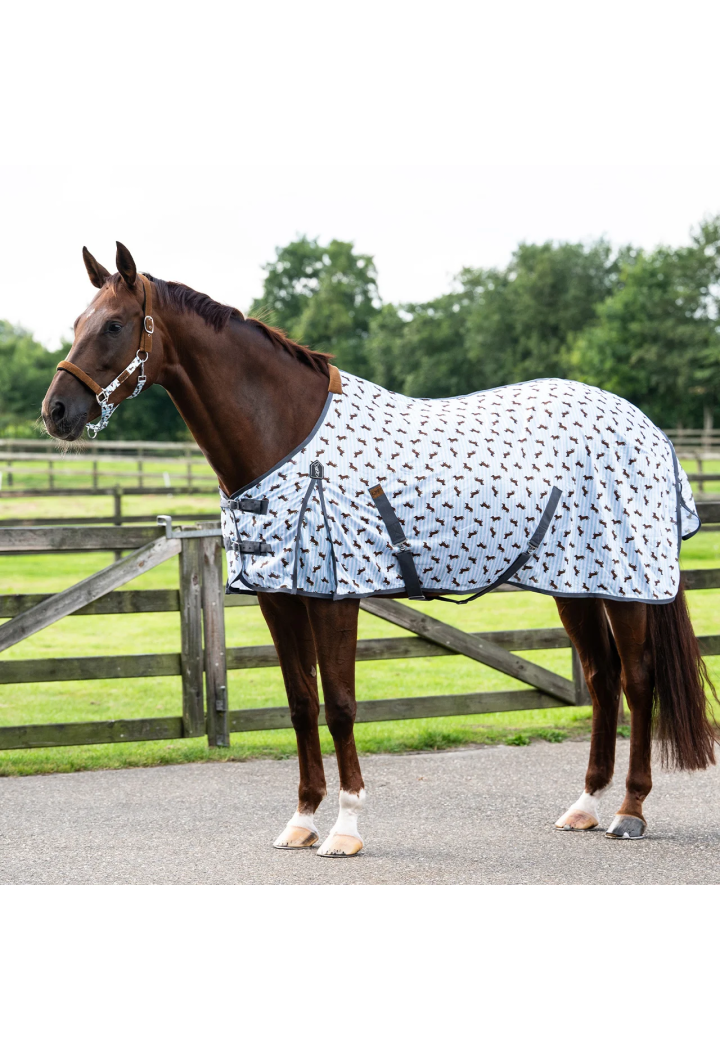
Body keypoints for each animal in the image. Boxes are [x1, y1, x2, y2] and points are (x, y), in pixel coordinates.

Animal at [41, 242, 718, 855]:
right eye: (77, 323)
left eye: (115, 325)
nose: (57, 412)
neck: (285, 431)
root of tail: (647, 427)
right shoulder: (279, 598)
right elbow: (300, 704)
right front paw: (301, 822)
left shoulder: (336, 598)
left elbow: (340, 705)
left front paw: (345, 829)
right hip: (575, 582)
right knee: (603, 680)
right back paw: (584, 806)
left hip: (628, 584)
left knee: (638, 680)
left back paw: (629, 812)